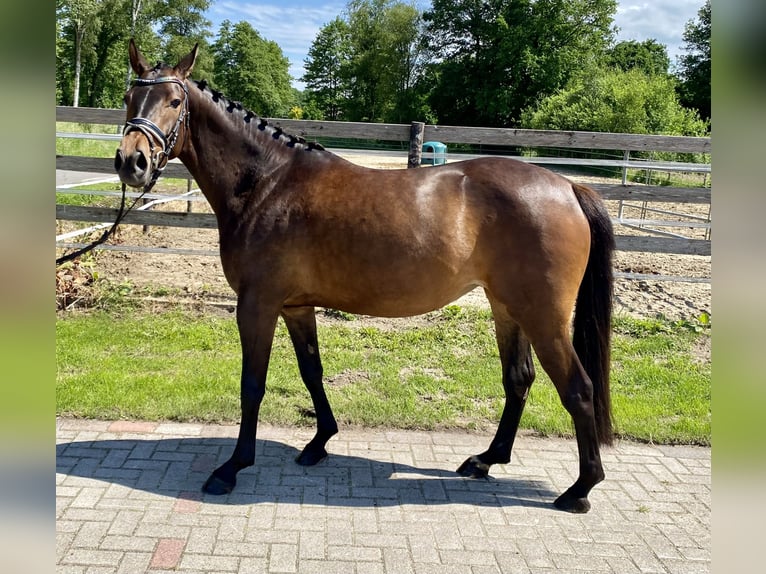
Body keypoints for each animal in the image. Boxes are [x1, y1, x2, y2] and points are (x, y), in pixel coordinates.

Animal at [115, 41, 616, 516]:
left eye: (174, 100)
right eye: (129, 97)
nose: (131, 162)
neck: (266, 183)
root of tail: (568, 186)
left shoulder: (257, 307)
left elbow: (252, 385)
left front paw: (233, 467)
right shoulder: (296, 306)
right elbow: (312, 372)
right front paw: (319, 442)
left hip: (544, 316)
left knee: (578, 389)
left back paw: (580, 489)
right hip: (508, 307)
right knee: (519, 379)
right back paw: (486, 460)